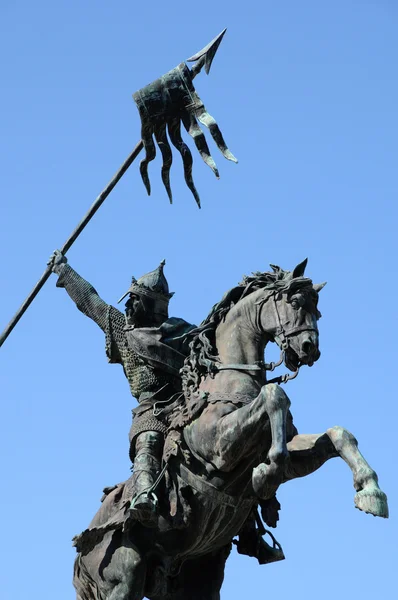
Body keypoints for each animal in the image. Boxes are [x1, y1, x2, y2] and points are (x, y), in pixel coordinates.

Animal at [73, 262, 388, 600]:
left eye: (318, 309)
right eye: (294, 302)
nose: (309, 349)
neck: (228, 379)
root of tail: (80, 558)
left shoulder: (292, 452)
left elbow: (337, 435)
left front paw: (370, 491)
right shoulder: (218, 450)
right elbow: (275, 397)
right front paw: (266, 474)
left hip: (198, 577)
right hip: (124, 577)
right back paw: (143, 503)